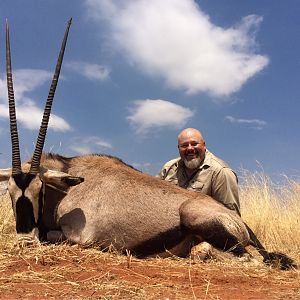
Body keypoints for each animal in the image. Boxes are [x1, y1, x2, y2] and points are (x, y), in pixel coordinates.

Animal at [0, 19, 296, 270]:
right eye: (10, 192)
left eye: (40, 190)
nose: (24, 240)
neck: (69, 186)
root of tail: (238, 221)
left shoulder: (80, 236)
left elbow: (52, 235)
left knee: (247, 260)